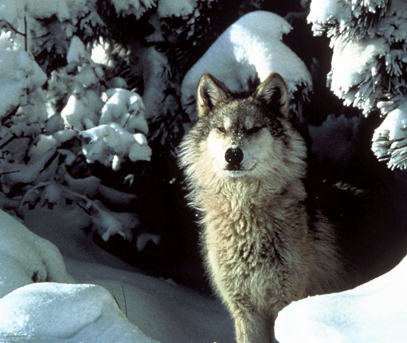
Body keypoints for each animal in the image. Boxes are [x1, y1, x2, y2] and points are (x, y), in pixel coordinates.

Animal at [180, 73, 342, 343]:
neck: (244, 215)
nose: (233, 154)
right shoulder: (245, 310)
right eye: (221, 129)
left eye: (253, 128)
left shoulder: (285, 303)